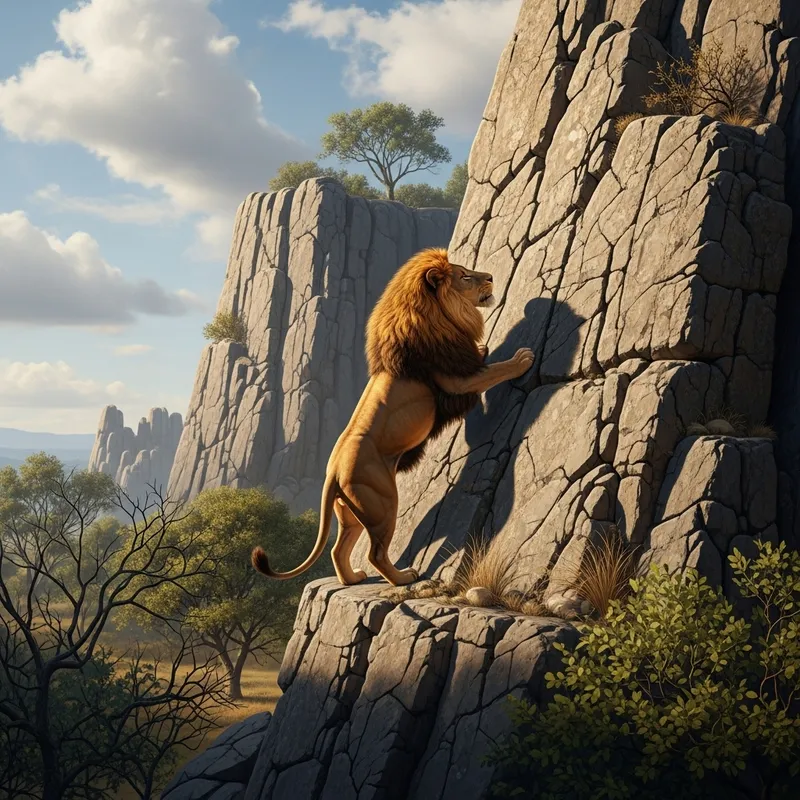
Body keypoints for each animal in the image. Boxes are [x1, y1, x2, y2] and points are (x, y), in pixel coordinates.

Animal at [251, 247, 534, 587]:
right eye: (465, 276)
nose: (491, 277)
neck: (439, 317)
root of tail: (332, 473)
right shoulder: (456, 380)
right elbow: (495, 370)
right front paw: (521, 359)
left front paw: (483, 347)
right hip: (383, 504)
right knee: (375, 553)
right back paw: (403, 577)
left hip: (351, 514)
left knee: (338, 550)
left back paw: (353, 578)